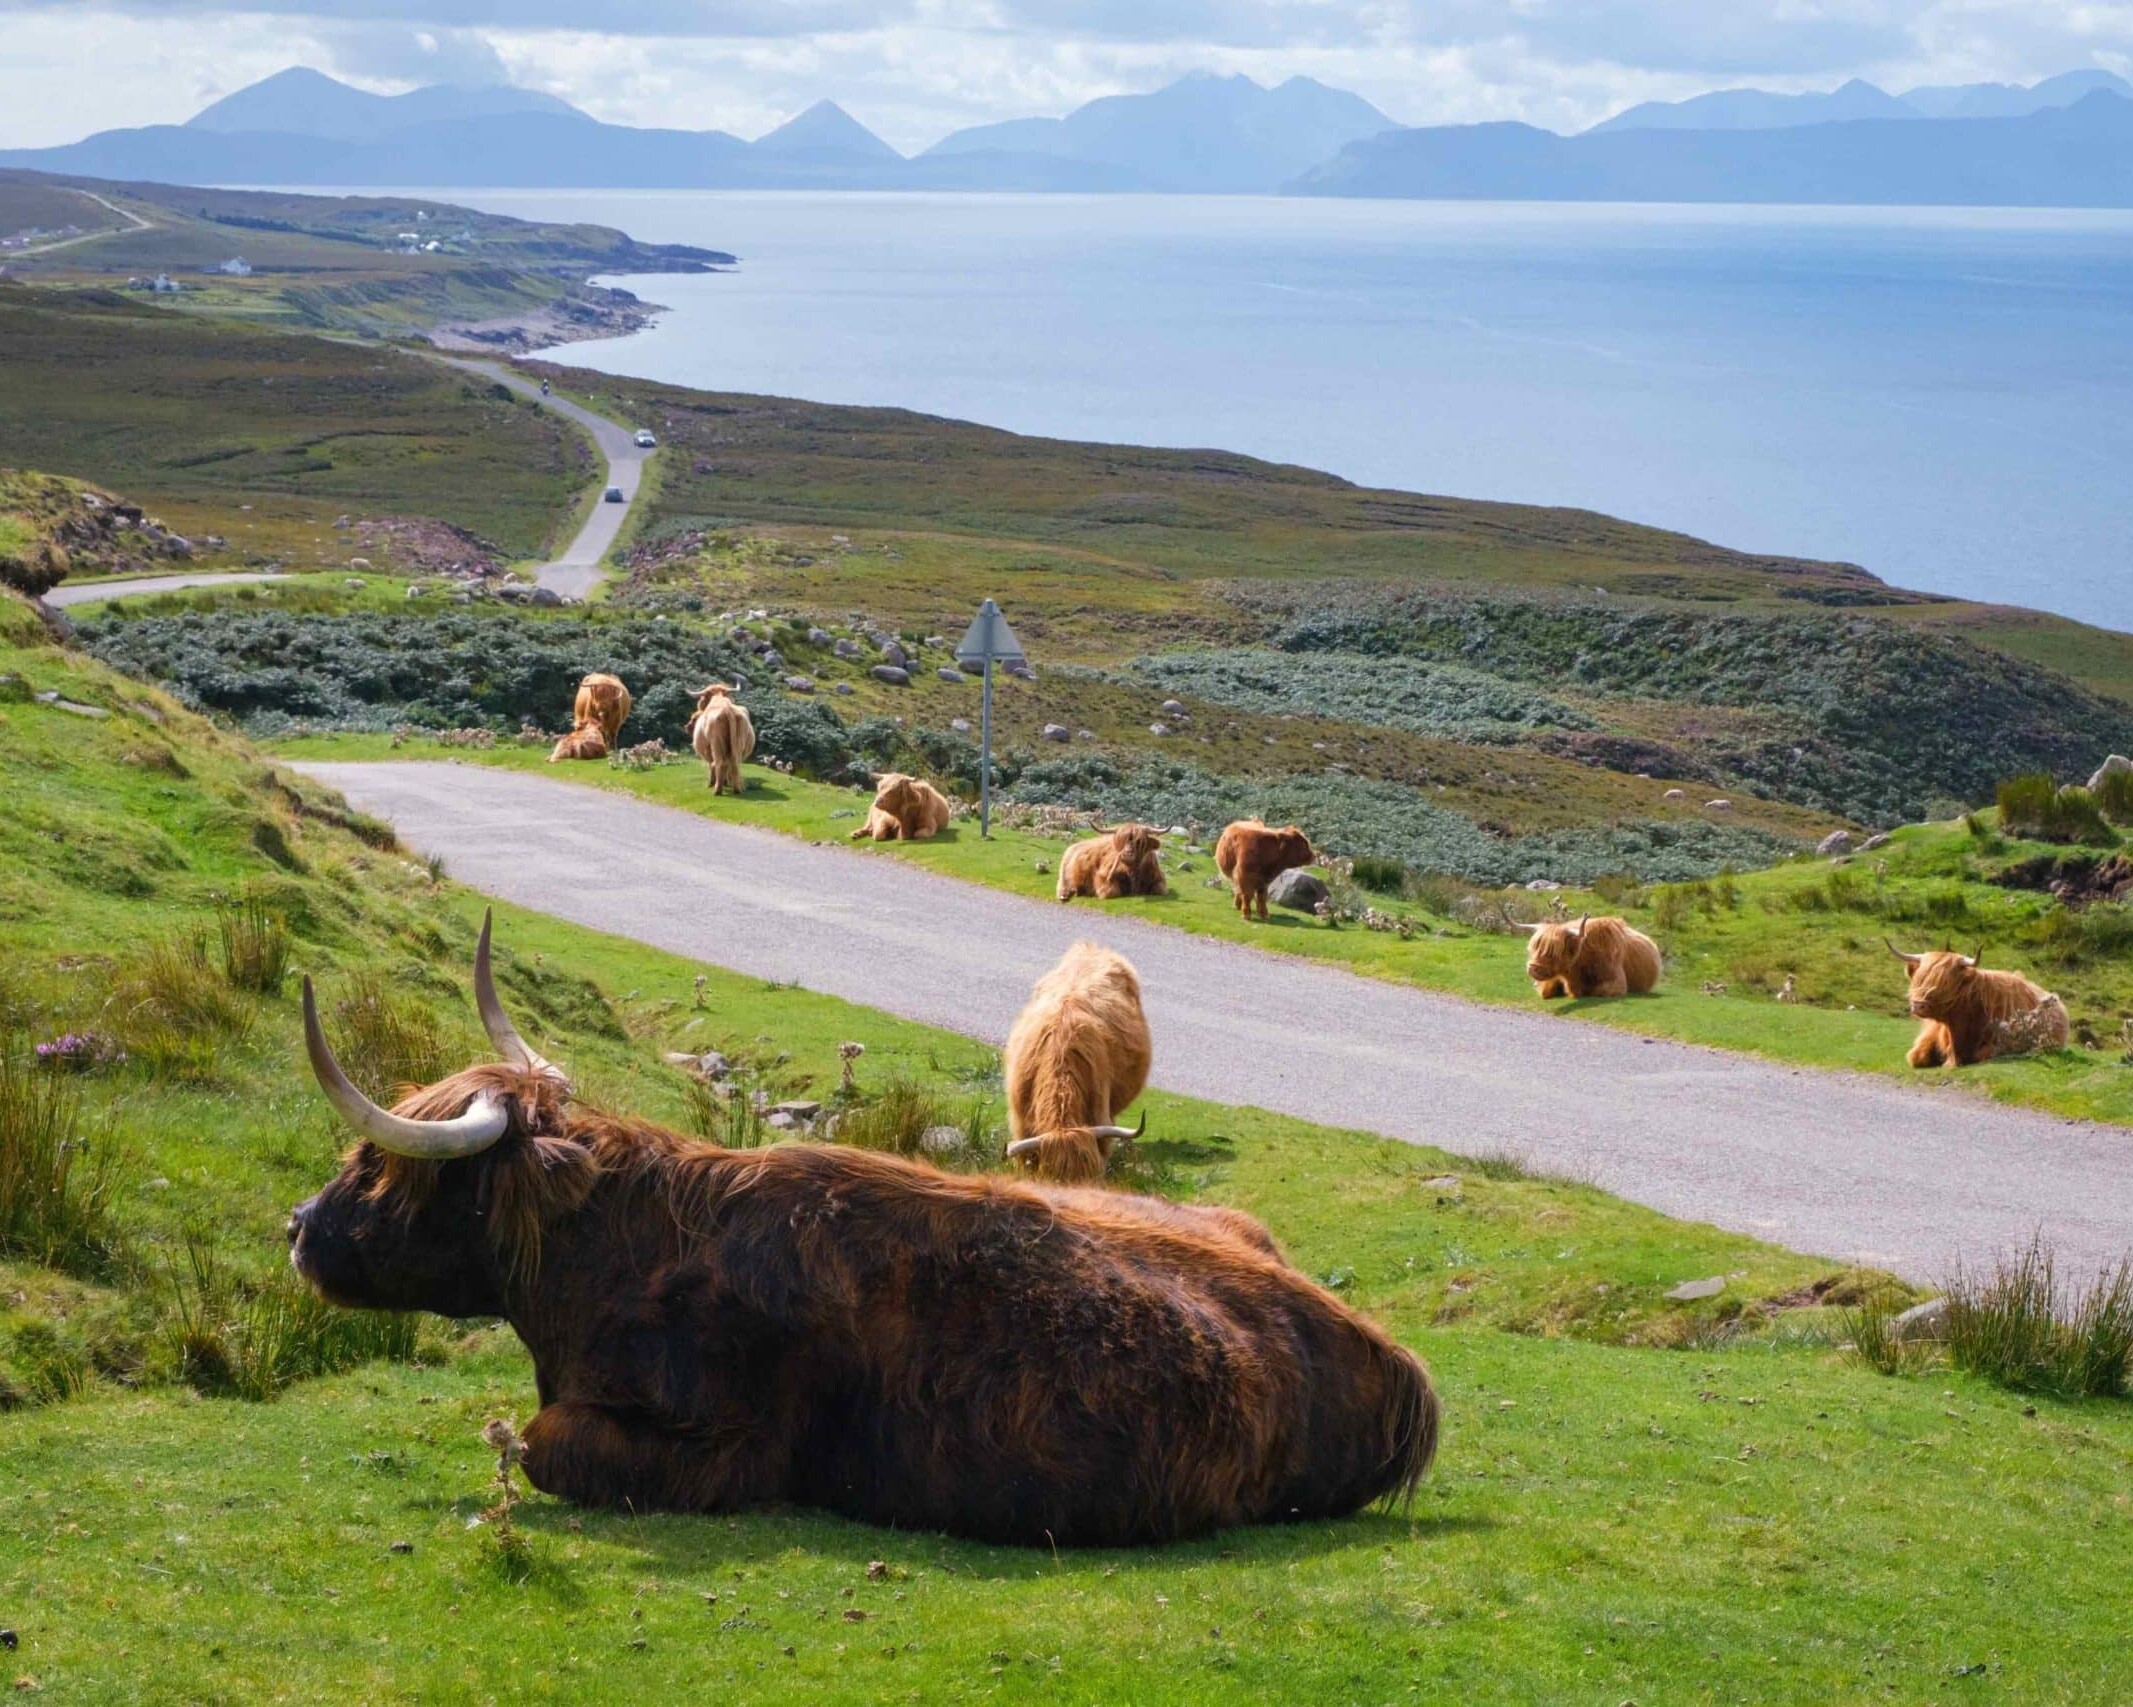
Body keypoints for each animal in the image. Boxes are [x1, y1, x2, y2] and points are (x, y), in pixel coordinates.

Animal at [1519, 914, 1662, 999]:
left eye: (1553, 952)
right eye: (1534, 947)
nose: (1532, 968)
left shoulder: (1617, 984)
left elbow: (1597, 991)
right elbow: (1545, 990)